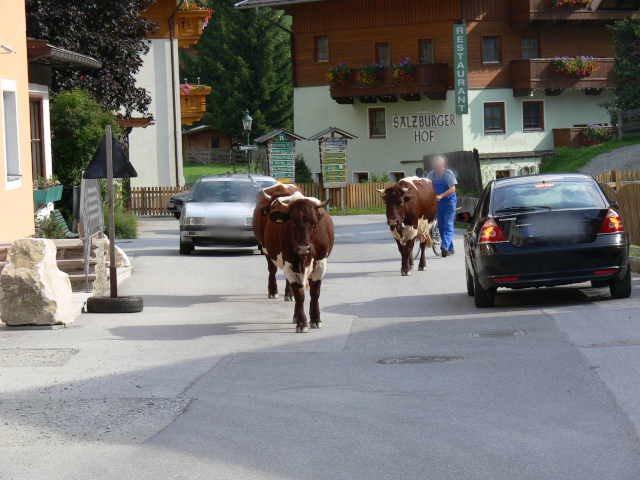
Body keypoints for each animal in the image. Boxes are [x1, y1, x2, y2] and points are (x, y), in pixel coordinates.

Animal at [264, 193, 336, 332]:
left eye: (314, 223)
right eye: (292, 223)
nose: (303, 248)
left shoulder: (321, 265)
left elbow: (315, 293)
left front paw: (315, 319)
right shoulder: (289, 265)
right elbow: (299, 295)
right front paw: (302, 323)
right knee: (274, 271)